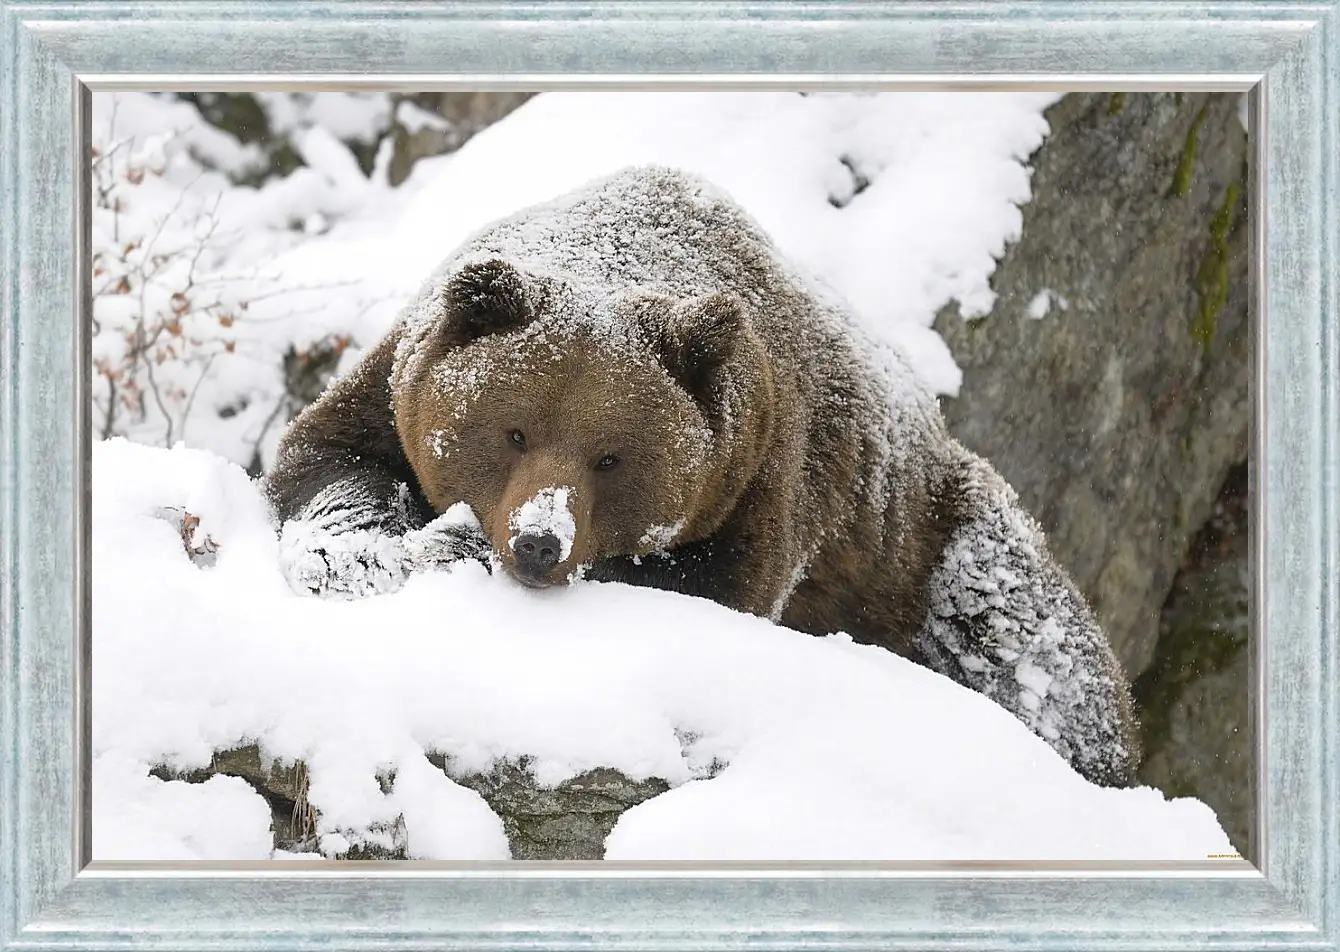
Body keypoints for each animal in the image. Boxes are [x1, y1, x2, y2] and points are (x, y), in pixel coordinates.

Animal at [263, 166, 1141, 788]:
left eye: (611, 456)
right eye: (514, 431)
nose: (540, 541)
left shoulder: (761, 477)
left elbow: (708, 587)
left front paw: (458, 547)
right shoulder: (394, 384)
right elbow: (329, 463)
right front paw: (376, 548)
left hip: (930, 542)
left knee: (1030, 646)